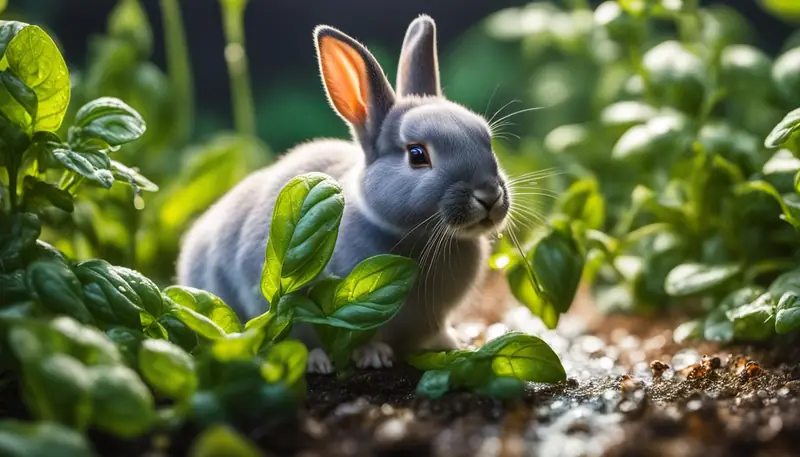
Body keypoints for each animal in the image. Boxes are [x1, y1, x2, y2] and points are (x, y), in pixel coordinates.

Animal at [176, 15, 511, 374]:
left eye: (486, 138)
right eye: (417, 154)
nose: (489, 195)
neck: (415, 236)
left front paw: (450, 344)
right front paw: (371, 356)